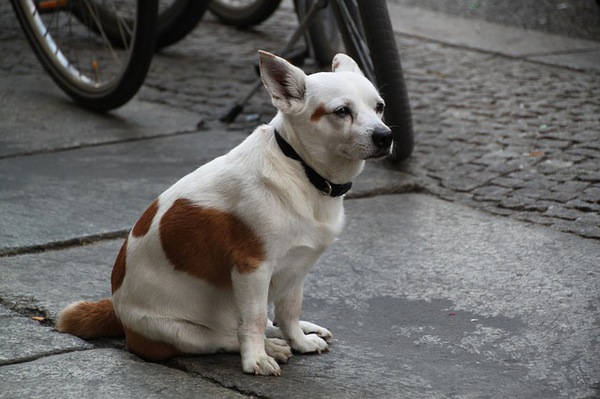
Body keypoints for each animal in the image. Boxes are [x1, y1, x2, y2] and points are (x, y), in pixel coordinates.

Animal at [56, 49, 394, 376]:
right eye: (341, 111)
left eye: (379, 106)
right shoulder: (253, 268)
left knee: (264, 322)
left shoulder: (297, 268)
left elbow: (288, 311)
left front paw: (299, 340)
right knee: (227, 336)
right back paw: (269, 348)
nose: (385, 136)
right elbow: (253, 322)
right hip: (180, 333)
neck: (301, 168)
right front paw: (256, 360)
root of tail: (117, 312)